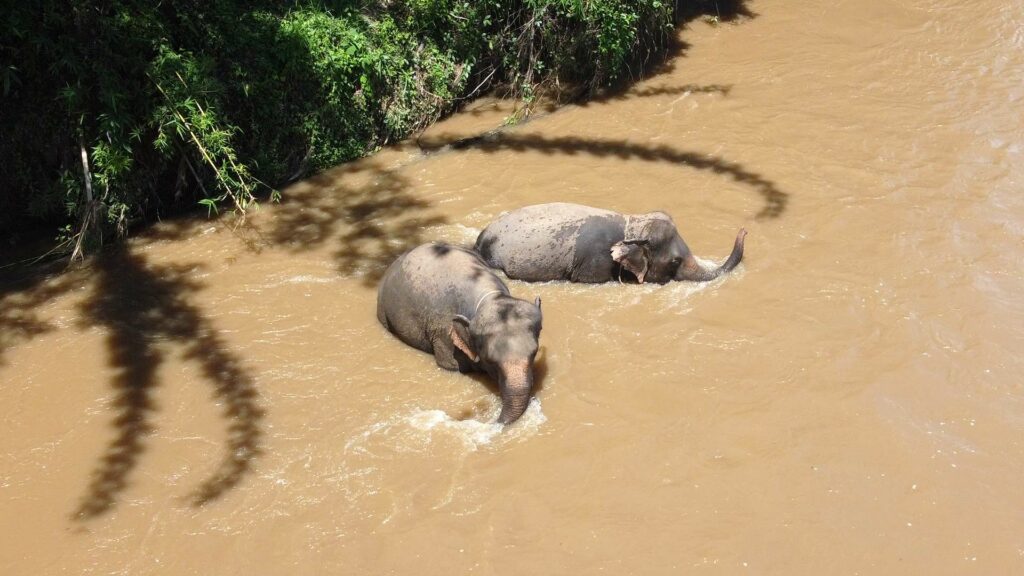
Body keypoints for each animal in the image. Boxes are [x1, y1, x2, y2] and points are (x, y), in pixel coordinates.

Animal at [372, 239, 540, 424]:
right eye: (491, 361)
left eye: (534, 353)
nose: (495, 421)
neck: (490, 298)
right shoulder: (443, 331)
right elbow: (449, 365)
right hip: (383, 307)